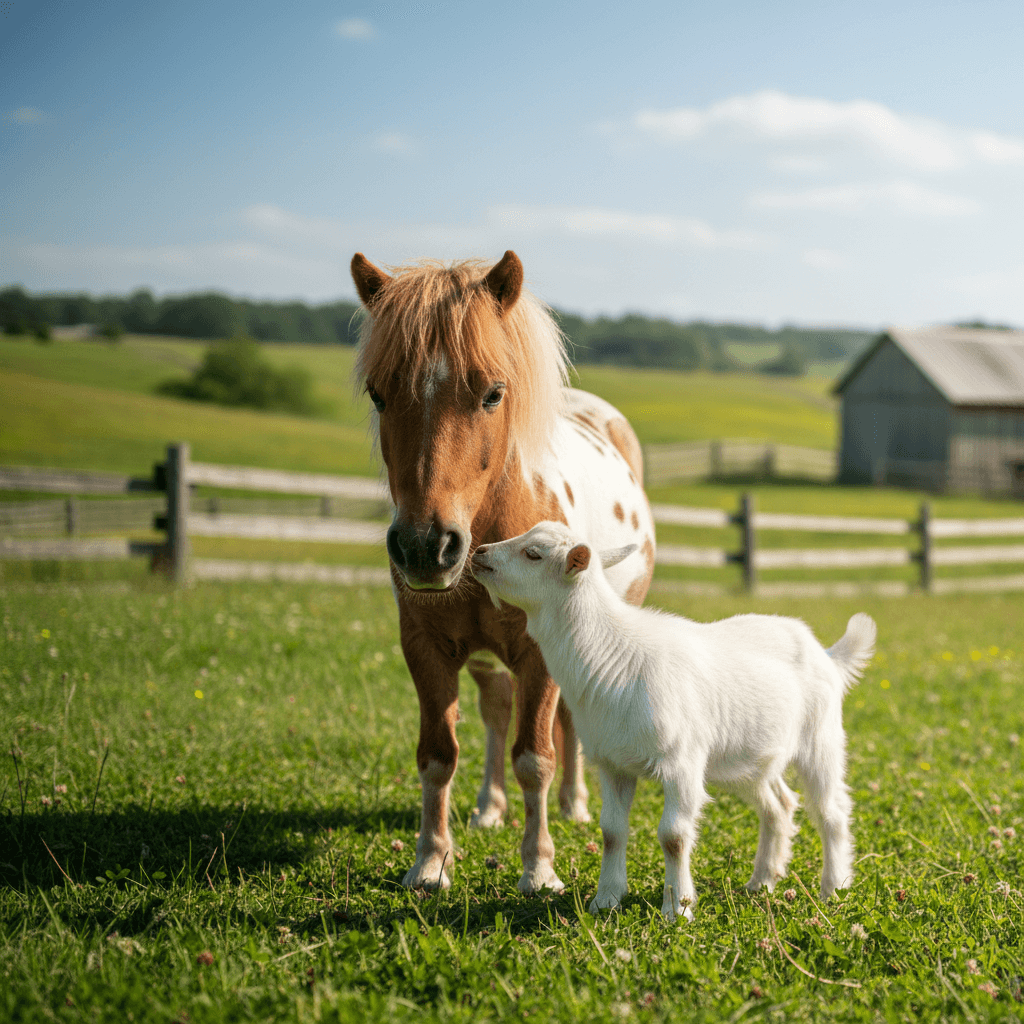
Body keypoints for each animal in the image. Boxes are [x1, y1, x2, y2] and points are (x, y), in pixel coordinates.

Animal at [351, 249, 657, 892]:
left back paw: (574, 804)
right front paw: (431, 861)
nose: (425, 547)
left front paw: (539, 868)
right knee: (494, 710)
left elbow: (534, 758)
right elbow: (438, 754)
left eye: (493, 393)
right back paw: (489, 807)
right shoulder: (425, 646)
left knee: (565, 720)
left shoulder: (540, 654)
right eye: (378, 394)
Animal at [471, 521, 876, 921]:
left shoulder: (681, 762)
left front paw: (677, 908)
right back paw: (762, 880)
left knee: (831, 811)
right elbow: (611, 830)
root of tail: (828, 654)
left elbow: (674, 836)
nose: (479, 552)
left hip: (820, 738)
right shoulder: (613, 762)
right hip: (748, 760)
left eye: (533, 553)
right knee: (778, 805)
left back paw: (834, 887)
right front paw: (606, 899)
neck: (611, 654)